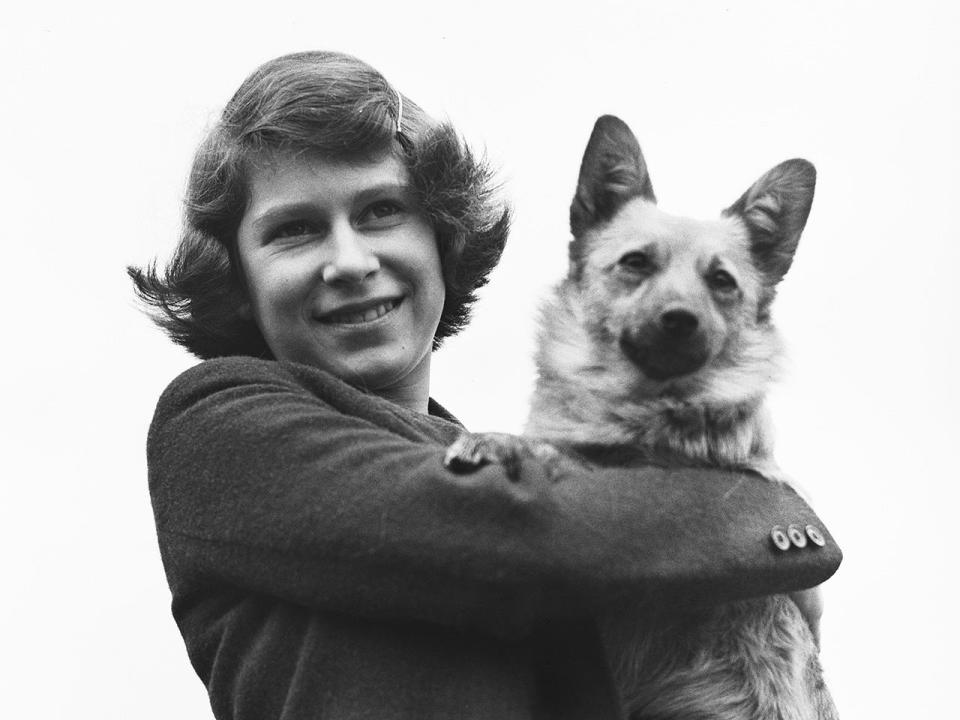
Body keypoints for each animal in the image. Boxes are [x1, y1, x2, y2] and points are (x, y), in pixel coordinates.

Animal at [446, 115, 836, 720]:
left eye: (721, 281)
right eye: (636, 263)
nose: (679, 321)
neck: (641, 405)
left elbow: (580, 457)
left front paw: (504, 441)